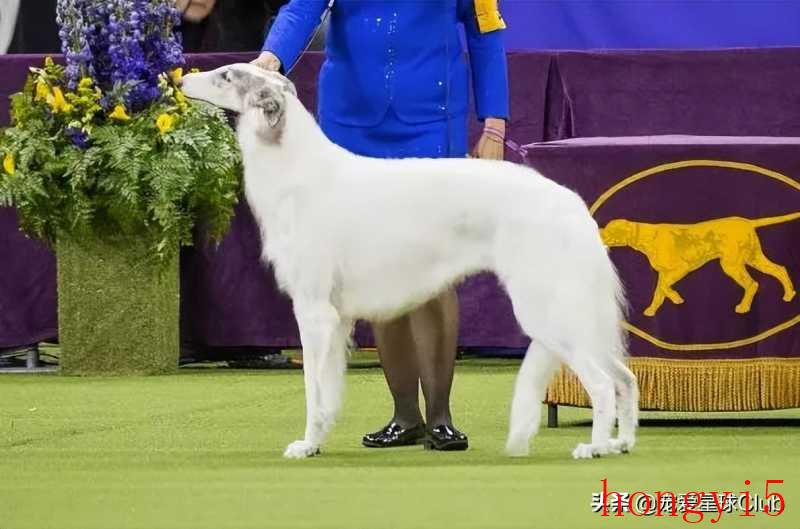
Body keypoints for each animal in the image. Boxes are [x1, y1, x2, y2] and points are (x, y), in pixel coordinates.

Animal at [181, 63, 636, 458]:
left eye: (226, 75)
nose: (181, 79)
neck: (299, 170)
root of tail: (570, 201)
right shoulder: (337, 320)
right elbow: (328, 392)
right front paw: (318, 441)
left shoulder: (313, 312)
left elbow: (312, 390)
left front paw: (305, 445)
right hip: (575, 317)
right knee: (625, 377)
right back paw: (622, 442)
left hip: (548, 312)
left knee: (601, 384)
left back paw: (595, 447)